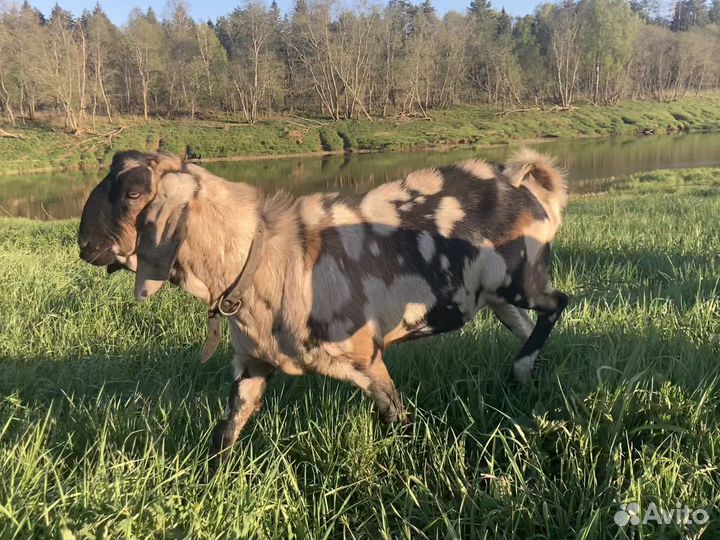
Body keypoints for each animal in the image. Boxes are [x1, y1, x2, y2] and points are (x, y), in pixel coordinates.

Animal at [78, 149, 569, 457]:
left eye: (134, 193)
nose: (85, 245)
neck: (264, 253)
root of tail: (530, 183)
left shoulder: (365, 358)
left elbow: (397, 418)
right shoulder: (251, 365)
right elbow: (227, 431)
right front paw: (210, 483)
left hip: (521, 277)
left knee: (557, 303)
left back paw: (521, 369)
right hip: (496, 296)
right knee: (528, 325)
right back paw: (528, 377)